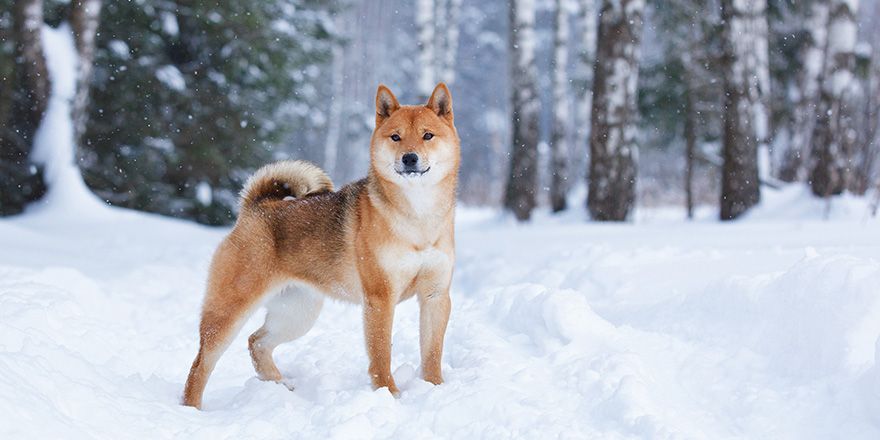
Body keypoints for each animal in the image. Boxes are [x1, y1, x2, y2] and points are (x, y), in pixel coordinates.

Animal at [185, 83, 460, 410]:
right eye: (396, 136)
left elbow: (432, 353)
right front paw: (389, 394)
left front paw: (435, 389)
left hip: (298, 313)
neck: (418, 218)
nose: (409, 158)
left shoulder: (435, 295)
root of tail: (257, 208)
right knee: (201, 364)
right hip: (229, 311)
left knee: (257, 342)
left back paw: (279, 386)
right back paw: (191, 408)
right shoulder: (380, 298)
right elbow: (382, 354)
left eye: (427, 135)